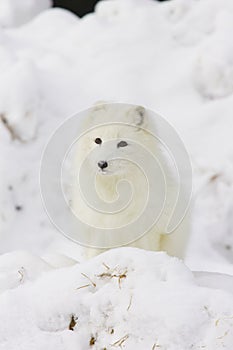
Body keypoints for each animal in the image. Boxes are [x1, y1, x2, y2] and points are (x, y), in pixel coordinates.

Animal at [72, 102, 190, 258]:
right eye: (98, 140)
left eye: (122, 144)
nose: (102, 163)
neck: (114, 191)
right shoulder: (98, 228)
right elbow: (94, 254)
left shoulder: (144, 229)